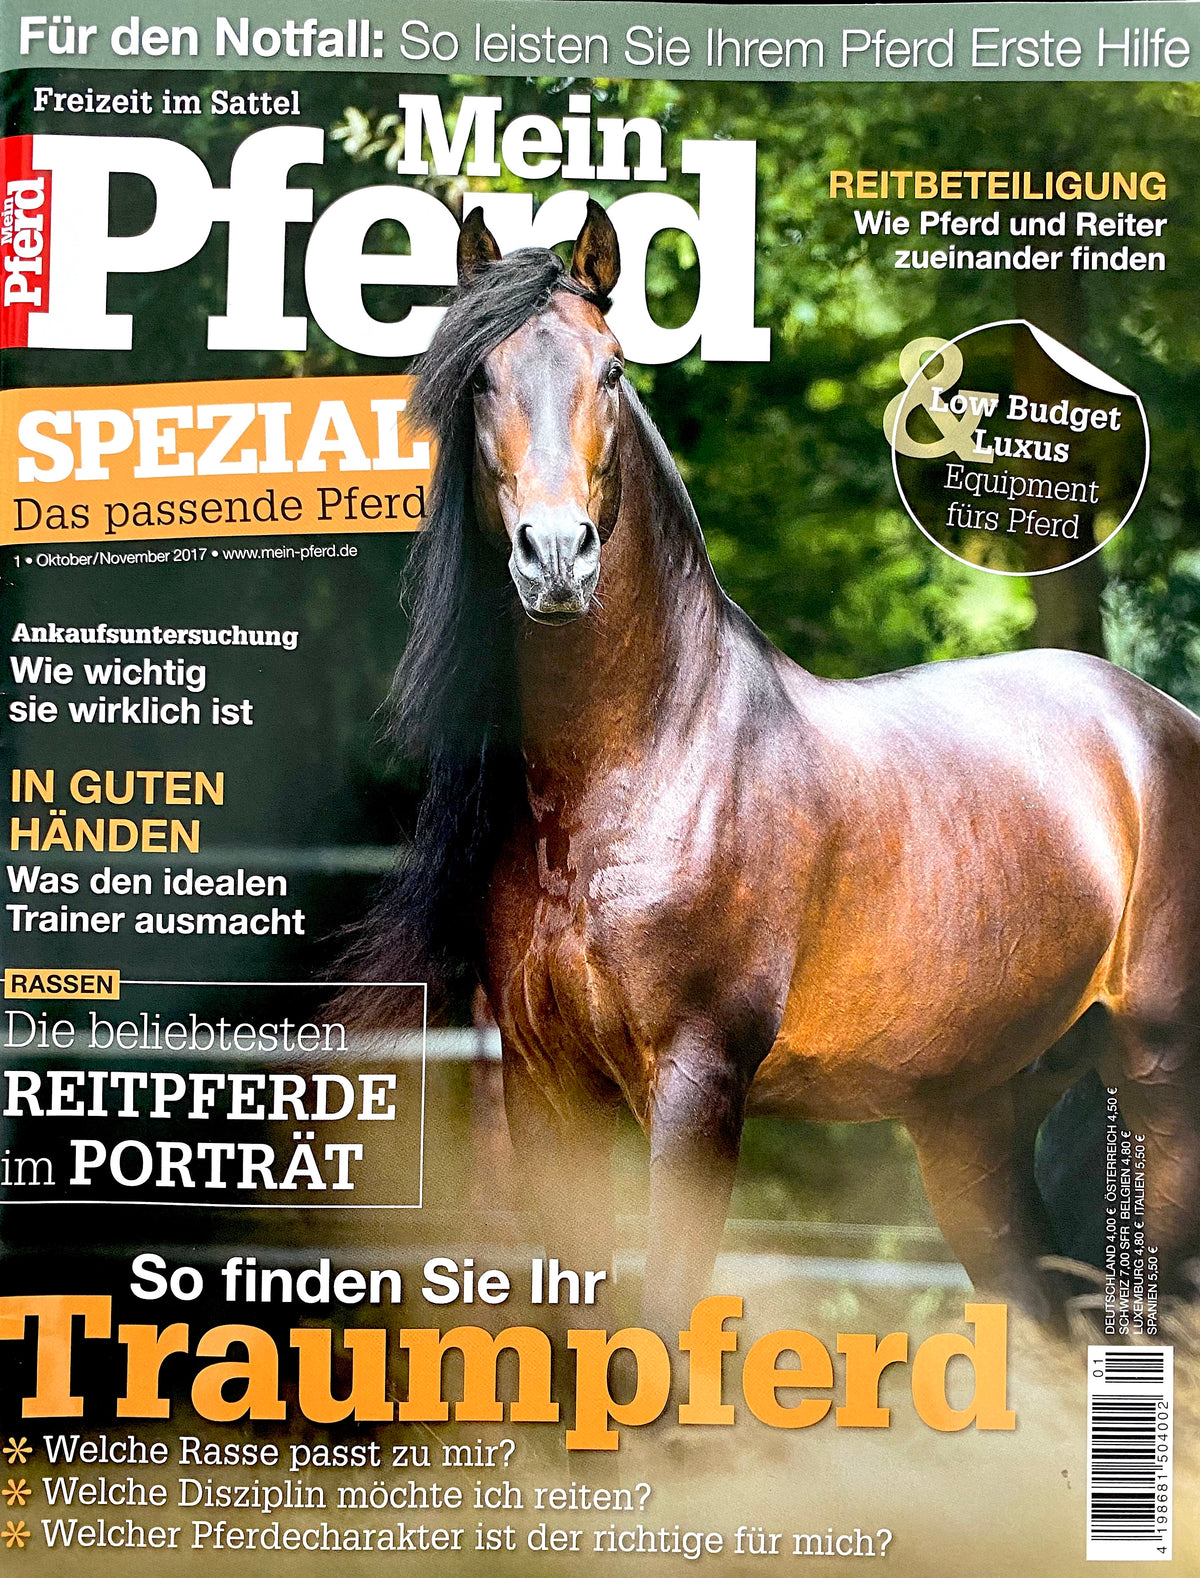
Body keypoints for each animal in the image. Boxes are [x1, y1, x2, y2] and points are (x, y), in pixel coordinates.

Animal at [348, 199, 1200, 1333]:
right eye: (480, 378)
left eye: (612, 371)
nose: (557, 558)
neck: (639, 766)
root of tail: (1158, 723)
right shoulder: (546, 1092)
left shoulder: (699, 1085)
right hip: (974, 1123)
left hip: (1163, 1097)